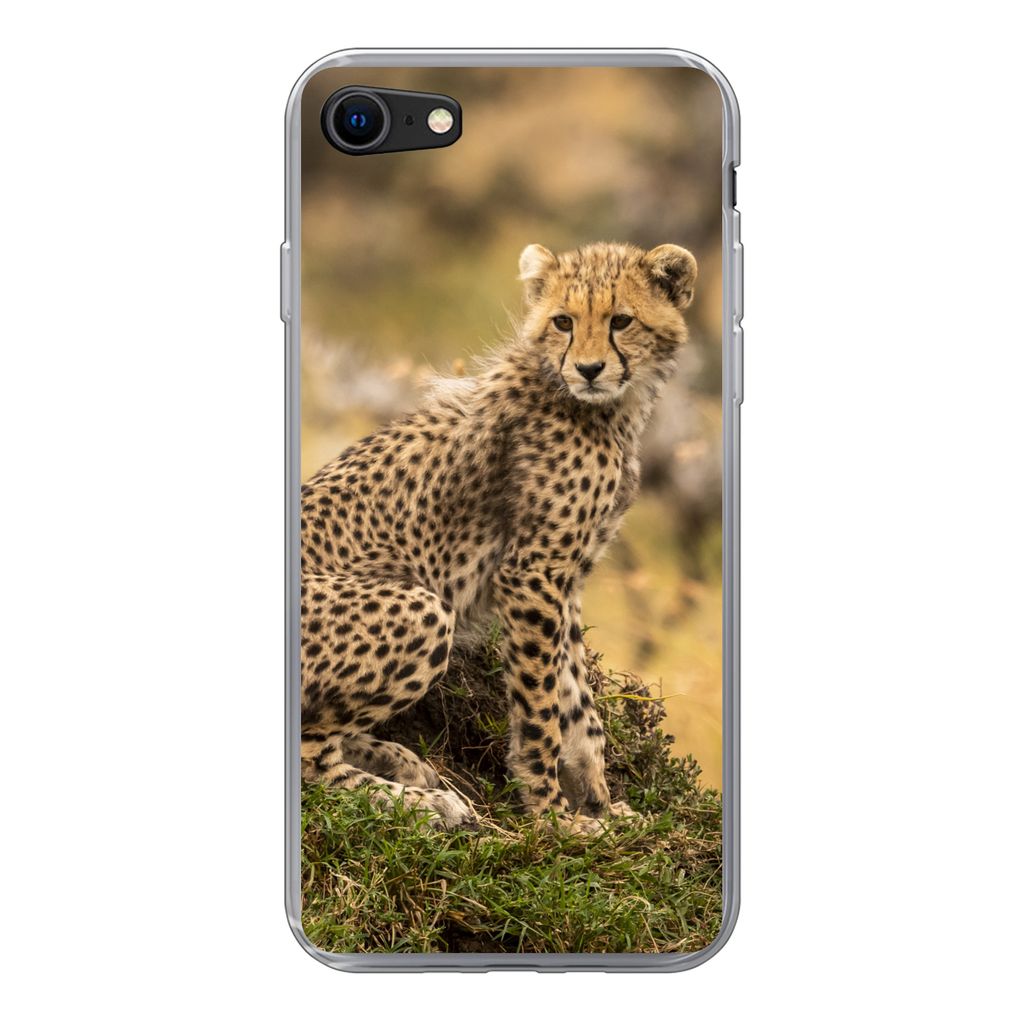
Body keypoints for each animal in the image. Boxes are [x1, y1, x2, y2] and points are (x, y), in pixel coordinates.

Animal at [300, 240, 698, 833]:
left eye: (621, 321)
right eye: (563, 321)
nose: (589, 369)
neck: (600, 407)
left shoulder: (565, 580)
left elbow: (580, 706)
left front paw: (602, 805)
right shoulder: (531, 574)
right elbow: (542, 708)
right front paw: (553, 816)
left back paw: (399, 761)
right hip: (423, 609)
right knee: (310, 760)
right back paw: (420, 802)